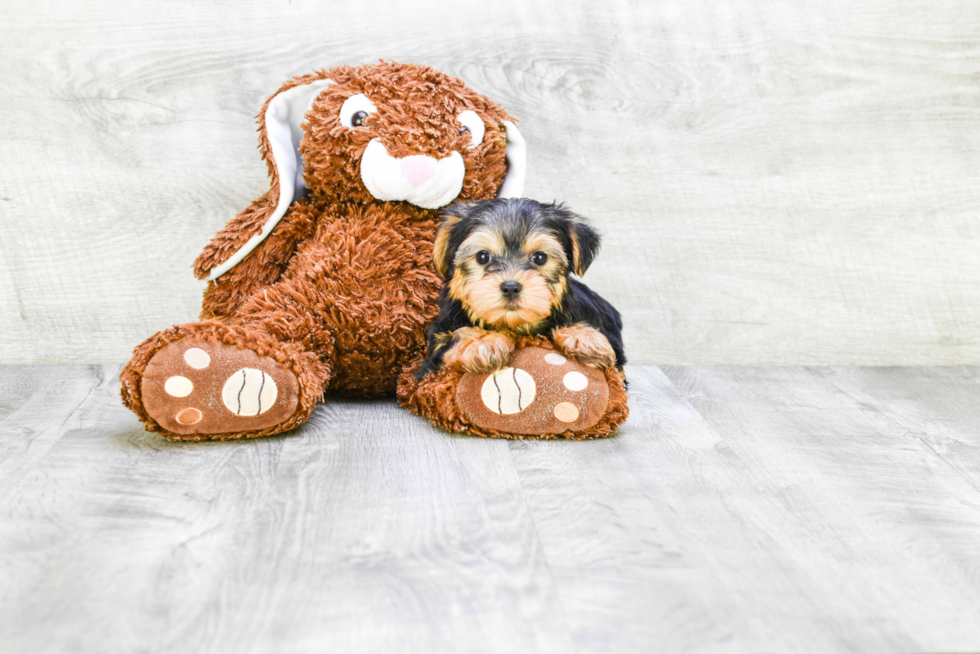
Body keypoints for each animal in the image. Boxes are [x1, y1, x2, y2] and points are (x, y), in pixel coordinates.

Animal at [418, 201, 624, 380]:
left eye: (540, 257)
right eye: (482, 256)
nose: (510, 287)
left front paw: (584, 336)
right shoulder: (436, 346)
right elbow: (454, 338)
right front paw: (483, 341)